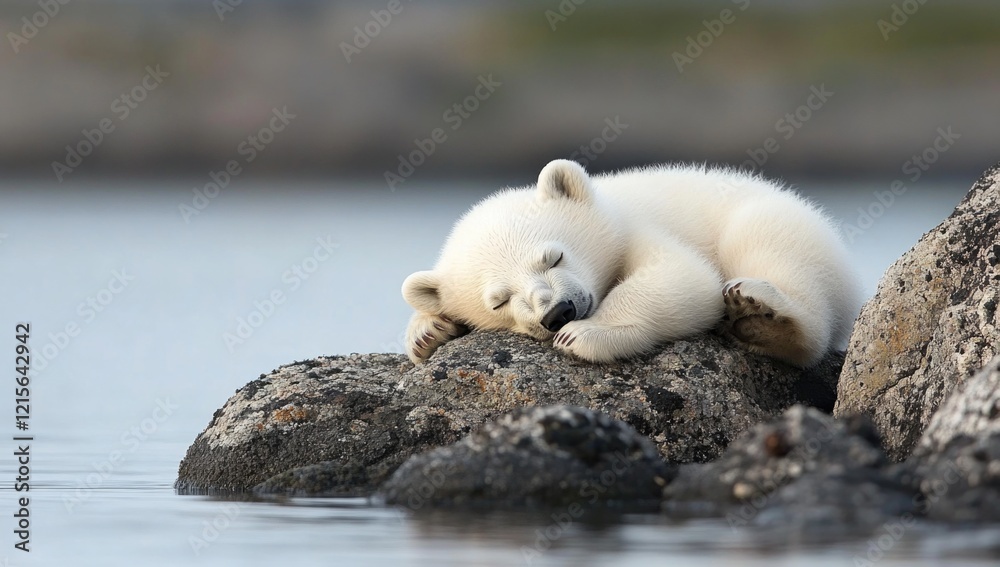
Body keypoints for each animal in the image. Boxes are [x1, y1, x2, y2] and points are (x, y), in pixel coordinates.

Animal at [401, 159, 861, 367]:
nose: (558, 312)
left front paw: (585, 334)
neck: (608, 208)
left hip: (785, 227)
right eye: (499, 301)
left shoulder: (634, 228)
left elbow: (684, 276)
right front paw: (427, 332)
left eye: (554, 256)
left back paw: (759, 313)